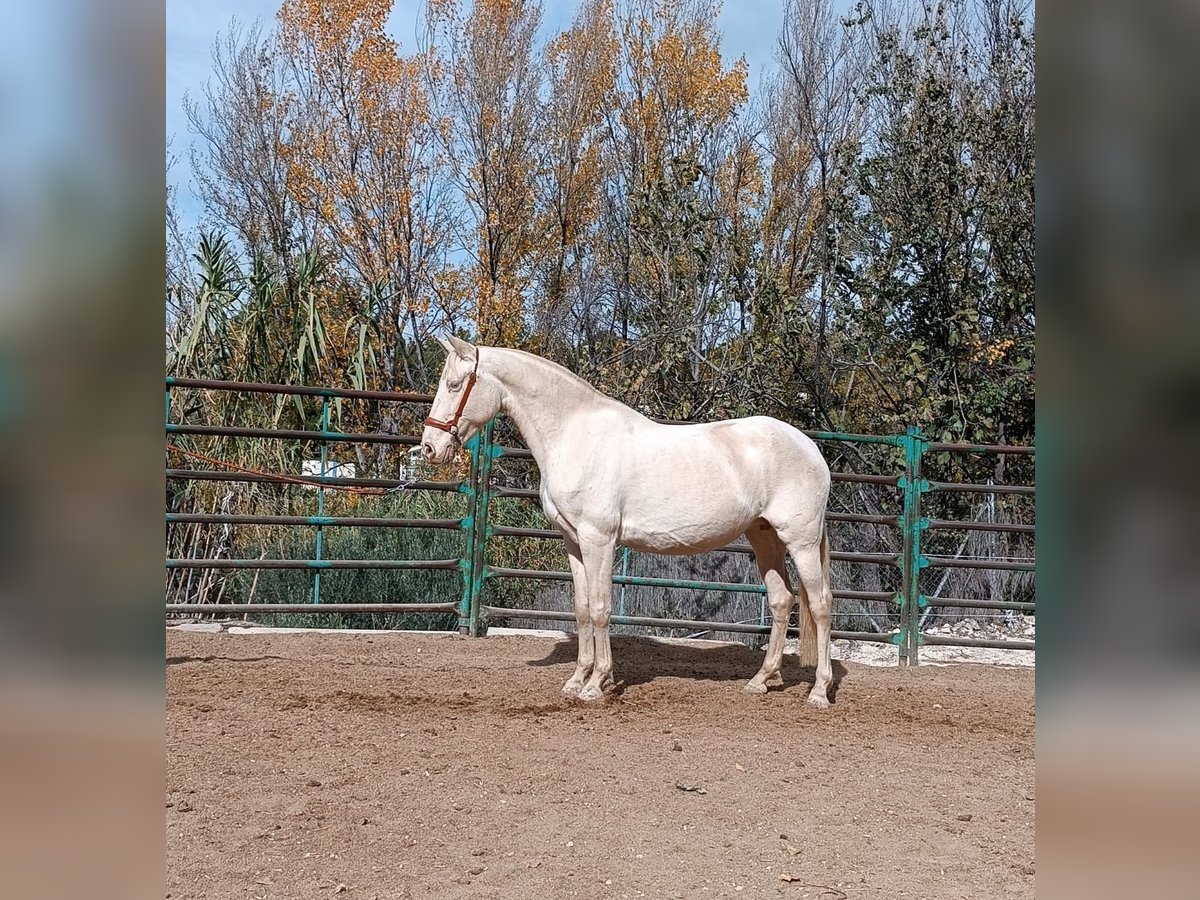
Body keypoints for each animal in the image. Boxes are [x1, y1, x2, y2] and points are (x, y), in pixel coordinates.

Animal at [422, 336, 835, 710]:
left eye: (455, 385)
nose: (429, 448)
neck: (574, 435)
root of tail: (810, 447)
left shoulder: (599, 539)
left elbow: (601, 608)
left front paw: (596, 685)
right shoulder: (574, 542)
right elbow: (582, 609)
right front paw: (577, 680)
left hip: (800, 542)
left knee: (819, 604)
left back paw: (818, 692)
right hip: (763, 537)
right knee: (782, 601)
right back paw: (760, 681)